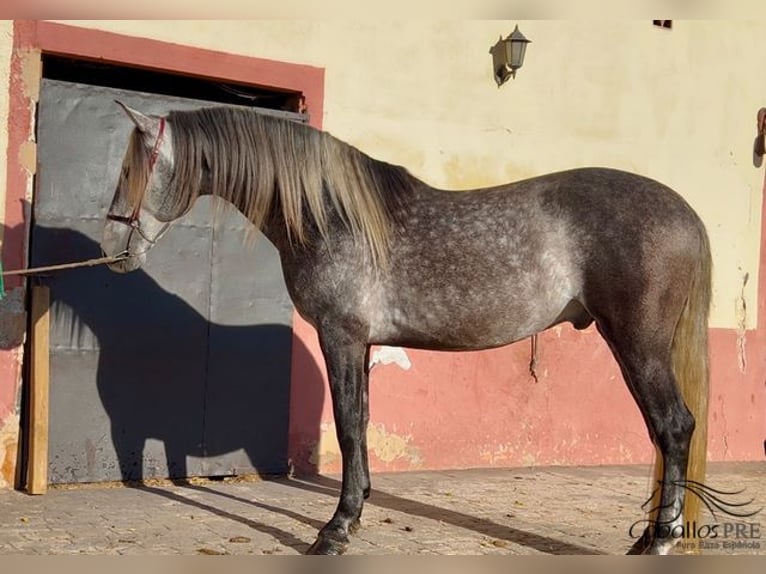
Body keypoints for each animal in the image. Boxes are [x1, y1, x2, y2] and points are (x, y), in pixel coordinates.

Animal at [100, 101, 712, 556]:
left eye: (131, 170)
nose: (111, 249)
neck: (333, 216)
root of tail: (683, 210)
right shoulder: (363, 344)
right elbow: (362, 423)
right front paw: (355, 513)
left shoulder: (341, 336)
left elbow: (349, 429)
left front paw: (335, 529)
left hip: (637, 343)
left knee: (673, 427)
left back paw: (659, 541)